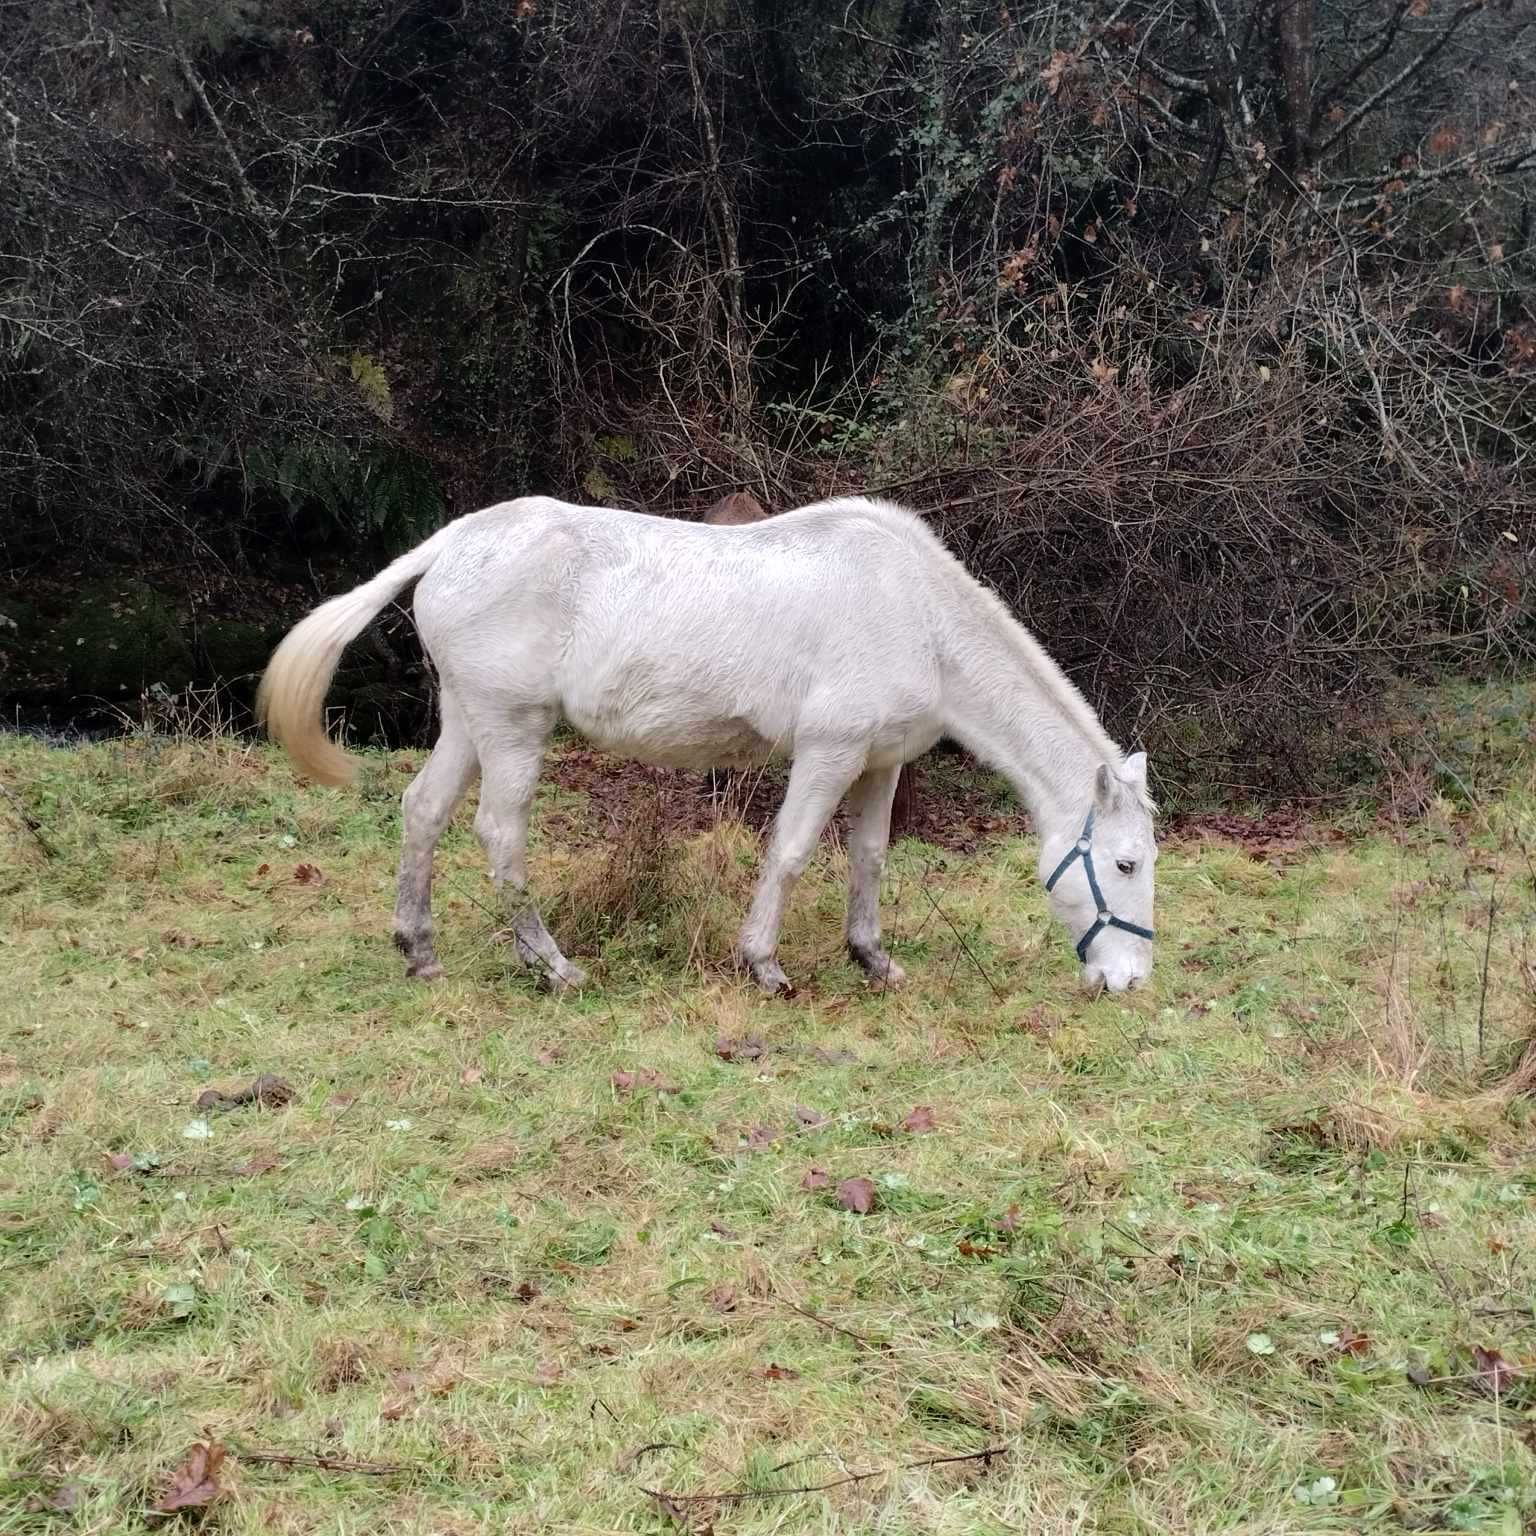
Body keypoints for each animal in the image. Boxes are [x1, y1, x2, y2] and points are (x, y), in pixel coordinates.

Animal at [261, 491, 1155, 995]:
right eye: (1124, 865)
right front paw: (762, 965)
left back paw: (419, 952)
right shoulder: (828, 753)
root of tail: (452, 542)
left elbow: (868, 858)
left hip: (468, 718)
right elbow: (790, 852)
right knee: (498, 835)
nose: (1129, 980)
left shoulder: (879, 763)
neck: (916, 613)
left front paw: (872, 960)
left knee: (423, 812)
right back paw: (553, 967)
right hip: (512, 724)